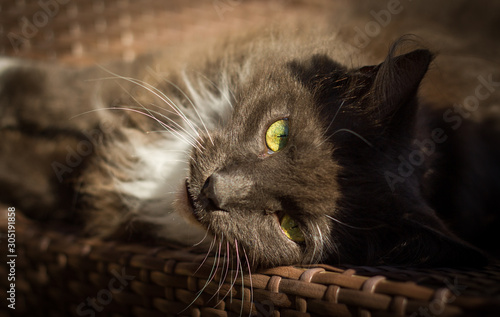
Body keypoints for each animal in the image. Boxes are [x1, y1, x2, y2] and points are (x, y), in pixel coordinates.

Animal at [1, 24, 498, 270]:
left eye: (292, 228)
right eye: (278, 134)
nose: (213, 190)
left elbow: (28, 174)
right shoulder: (146, 79)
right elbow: (59, 88)